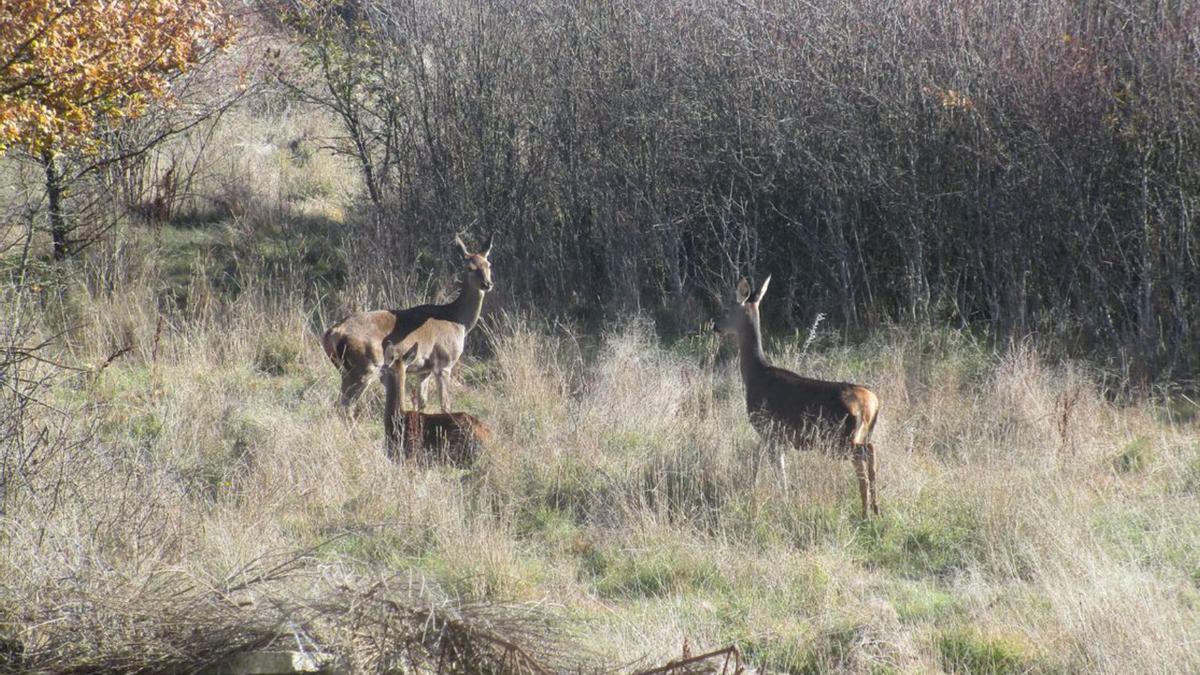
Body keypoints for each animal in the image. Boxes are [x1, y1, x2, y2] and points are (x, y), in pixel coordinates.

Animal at [321, 235, 494, 415]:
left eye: (488, 264)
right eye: (469, 268)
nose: (487, 284)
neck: (458, 321)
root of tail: (332, 333)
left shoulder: (424, 370)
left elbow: (422, 403)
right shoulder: (444, 364)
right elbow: (445, 406)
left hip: (345, 370)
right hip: (364, 368)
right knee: (346, 406)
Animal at [710, 273, 883, 514]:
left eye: (726, 309)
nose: (715, 325)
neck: (755, 374)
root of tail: (871, 402)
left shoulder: (767, 427)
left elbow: (774, 468)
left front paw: (779, 498)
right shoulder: (774, 435)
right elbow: (763, 462)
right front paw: (763, 490)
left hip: (839, 437)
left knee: (865, 453)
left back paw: (867, 509)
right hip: (859, 433)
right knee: (870, 452)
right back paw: (875, 507)